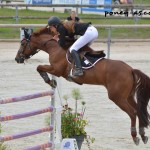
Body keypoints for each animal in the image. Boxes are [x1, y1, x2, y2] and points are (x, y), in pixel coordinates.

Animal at [14, 27, 149, 145]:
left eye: (22, 43)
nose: (17, 59)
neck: (55, 47)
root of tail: (130, 70)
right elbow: (40, 67)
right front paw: (50, 81)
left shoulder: (57, 70)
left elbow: (39, 67)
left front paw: (49, 80)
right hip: (128, 96)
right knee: (139, 110)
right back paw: (143, 135)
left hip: (117, 97)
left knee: (132, 113)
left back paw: (135, 137)